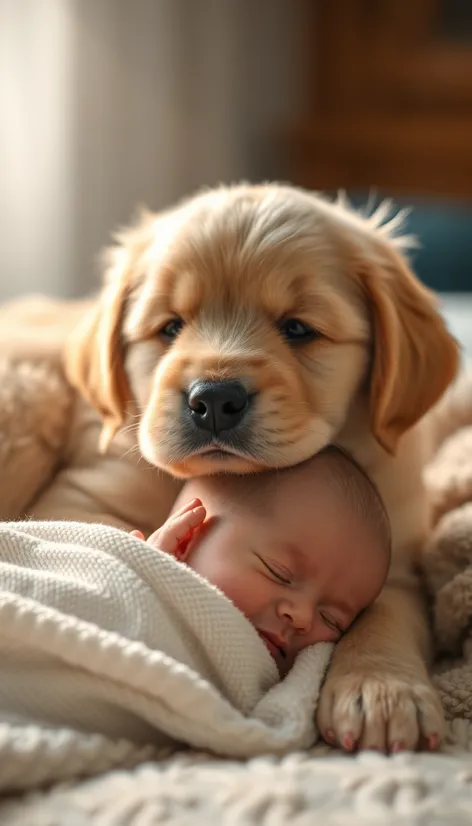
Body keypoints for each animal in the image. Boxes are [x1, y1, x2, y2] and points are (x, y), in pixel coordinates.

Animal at [64, 185, 460, 752]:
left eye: (298, 329)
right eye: (170, 327)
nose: (213, 400)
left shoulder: (402, 558)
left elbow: (384, 613)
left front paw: (382, 690)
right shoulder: (82, 498)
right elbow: (101, 544)